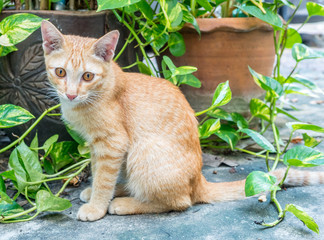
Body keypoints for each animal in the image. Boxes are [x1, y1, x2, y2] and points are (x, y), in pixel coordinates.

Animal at [41, 20, 324, 221]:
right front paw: (96, 194)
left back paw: (123, 203)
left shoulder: (112, 144)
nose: (70, 93)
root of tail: (199, 181)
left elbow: (103, 178)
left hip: (143, 152)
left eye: (88, 76)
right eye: (60, 72)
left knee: (179, 202)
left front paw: (97, 207)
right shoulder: (96, 146)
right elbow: (100, 173)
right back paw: (121, 192)